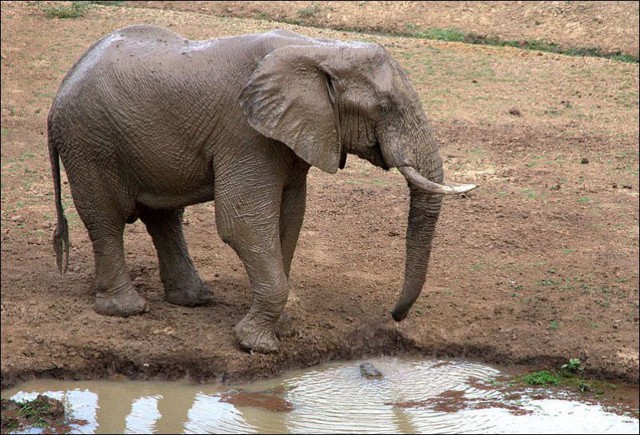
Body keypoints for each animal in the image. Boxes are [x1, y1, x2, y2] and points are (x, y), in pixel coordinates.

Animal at [48, 25, 476, 354]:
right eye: (384, 107)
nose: (394, 316)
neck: (320, 49)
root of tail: (62, 87)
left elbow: (290, 216)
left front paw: (281, 329)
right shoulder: (245, 133)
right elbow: (243, 223)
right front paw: (258, 345)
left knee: (163, 218)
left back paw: (194, 300)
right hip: (90, 143)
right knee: (107, 219)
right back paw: (126, 310)